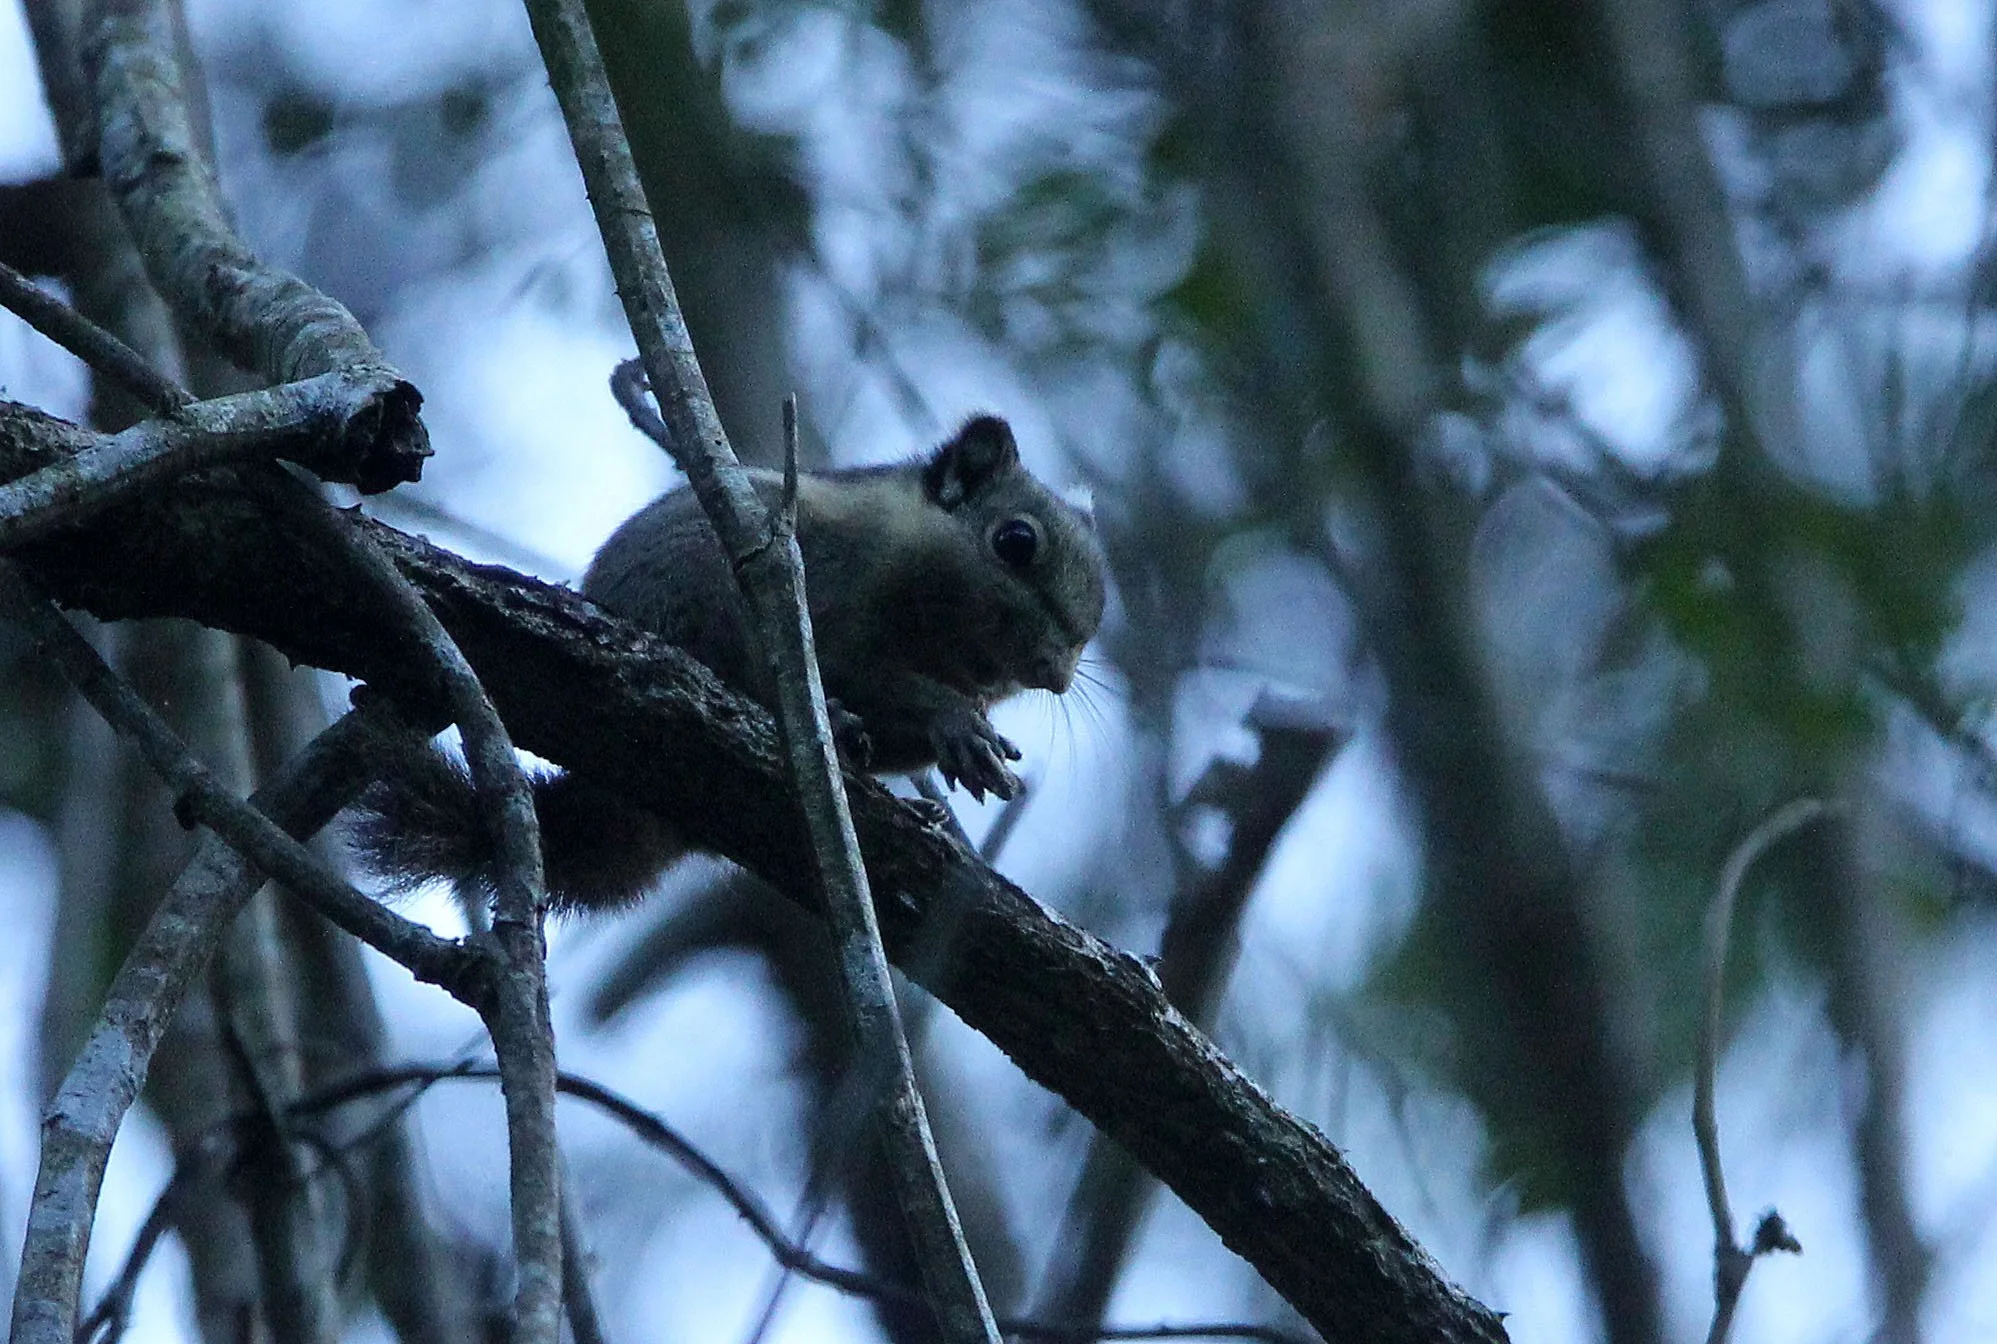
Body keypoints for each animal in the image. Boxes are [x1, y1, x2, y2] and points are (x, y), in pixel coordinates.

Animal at [352, 413, 1107, 911]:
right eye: (1015, 542)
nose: (1055, 674)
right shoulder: (819, 598)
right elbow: (864, 676)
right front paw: (953, 722)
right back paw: (831, 725)